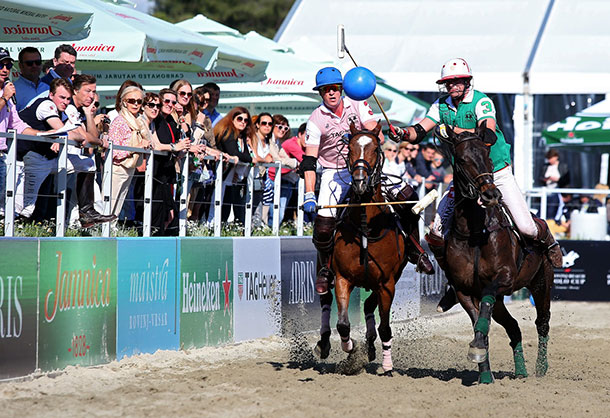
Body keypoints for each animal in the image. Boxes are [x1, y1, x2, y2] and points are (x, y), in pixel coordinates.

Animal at [314, 121, 414, 376]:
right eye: (349, 148)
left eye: (375, 149)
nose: (359, 182)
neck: (365, 225)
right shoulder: (342, 278)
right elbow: (342, 324)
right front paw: (351, 350)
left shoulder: (387, 283)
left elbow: (385, 326)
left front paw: (387, 365)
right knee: (325, 300)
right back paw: (324, 343)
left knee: (370, 306)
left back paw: (371, 345)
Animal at [440, 122, 552, 384]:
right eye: (462, 159)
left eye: (488, 157)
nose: (492, 195)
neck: (473, 232)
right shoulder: (463, 289)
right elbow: (478, 321)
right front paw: (484, 372)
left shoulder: (503, 278)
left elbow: (486, 306)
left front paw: (478, 349)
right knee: (513, 327)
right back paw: (520, 371)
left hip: (541, 283)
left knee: (542, 322)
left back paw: (541, 368)